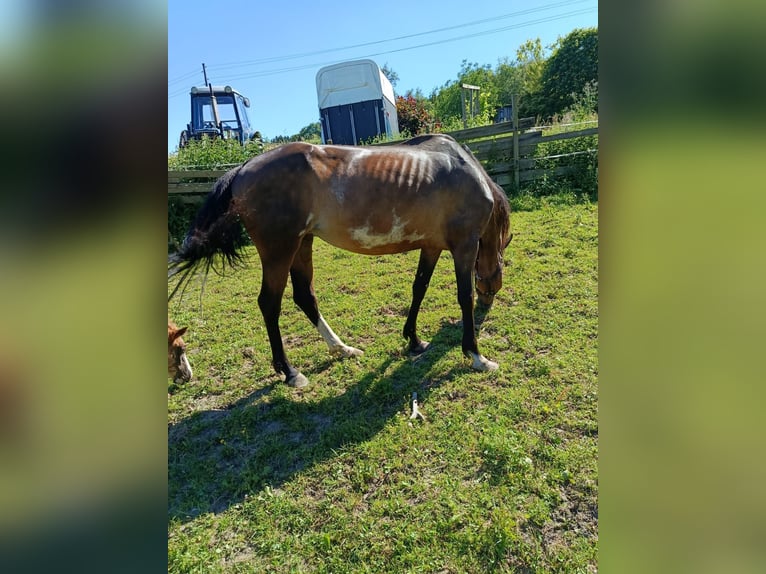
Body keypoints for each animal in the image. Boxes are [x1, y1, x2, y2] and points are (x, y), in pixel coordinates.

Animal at [168, 134, 512, 388]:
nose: (488, 303)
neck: (465, 170)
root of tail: (243, 168)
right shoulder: (464, 245)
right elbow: (463, 296)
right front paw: (476, 355)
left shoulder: (430, 247)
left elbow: (419, 288)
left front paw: (414, 340)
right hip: (280, 250)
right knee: (270, 304)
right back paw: (290, 372)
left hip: (301, 245)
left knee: (305, 297)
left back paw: (342, 349)